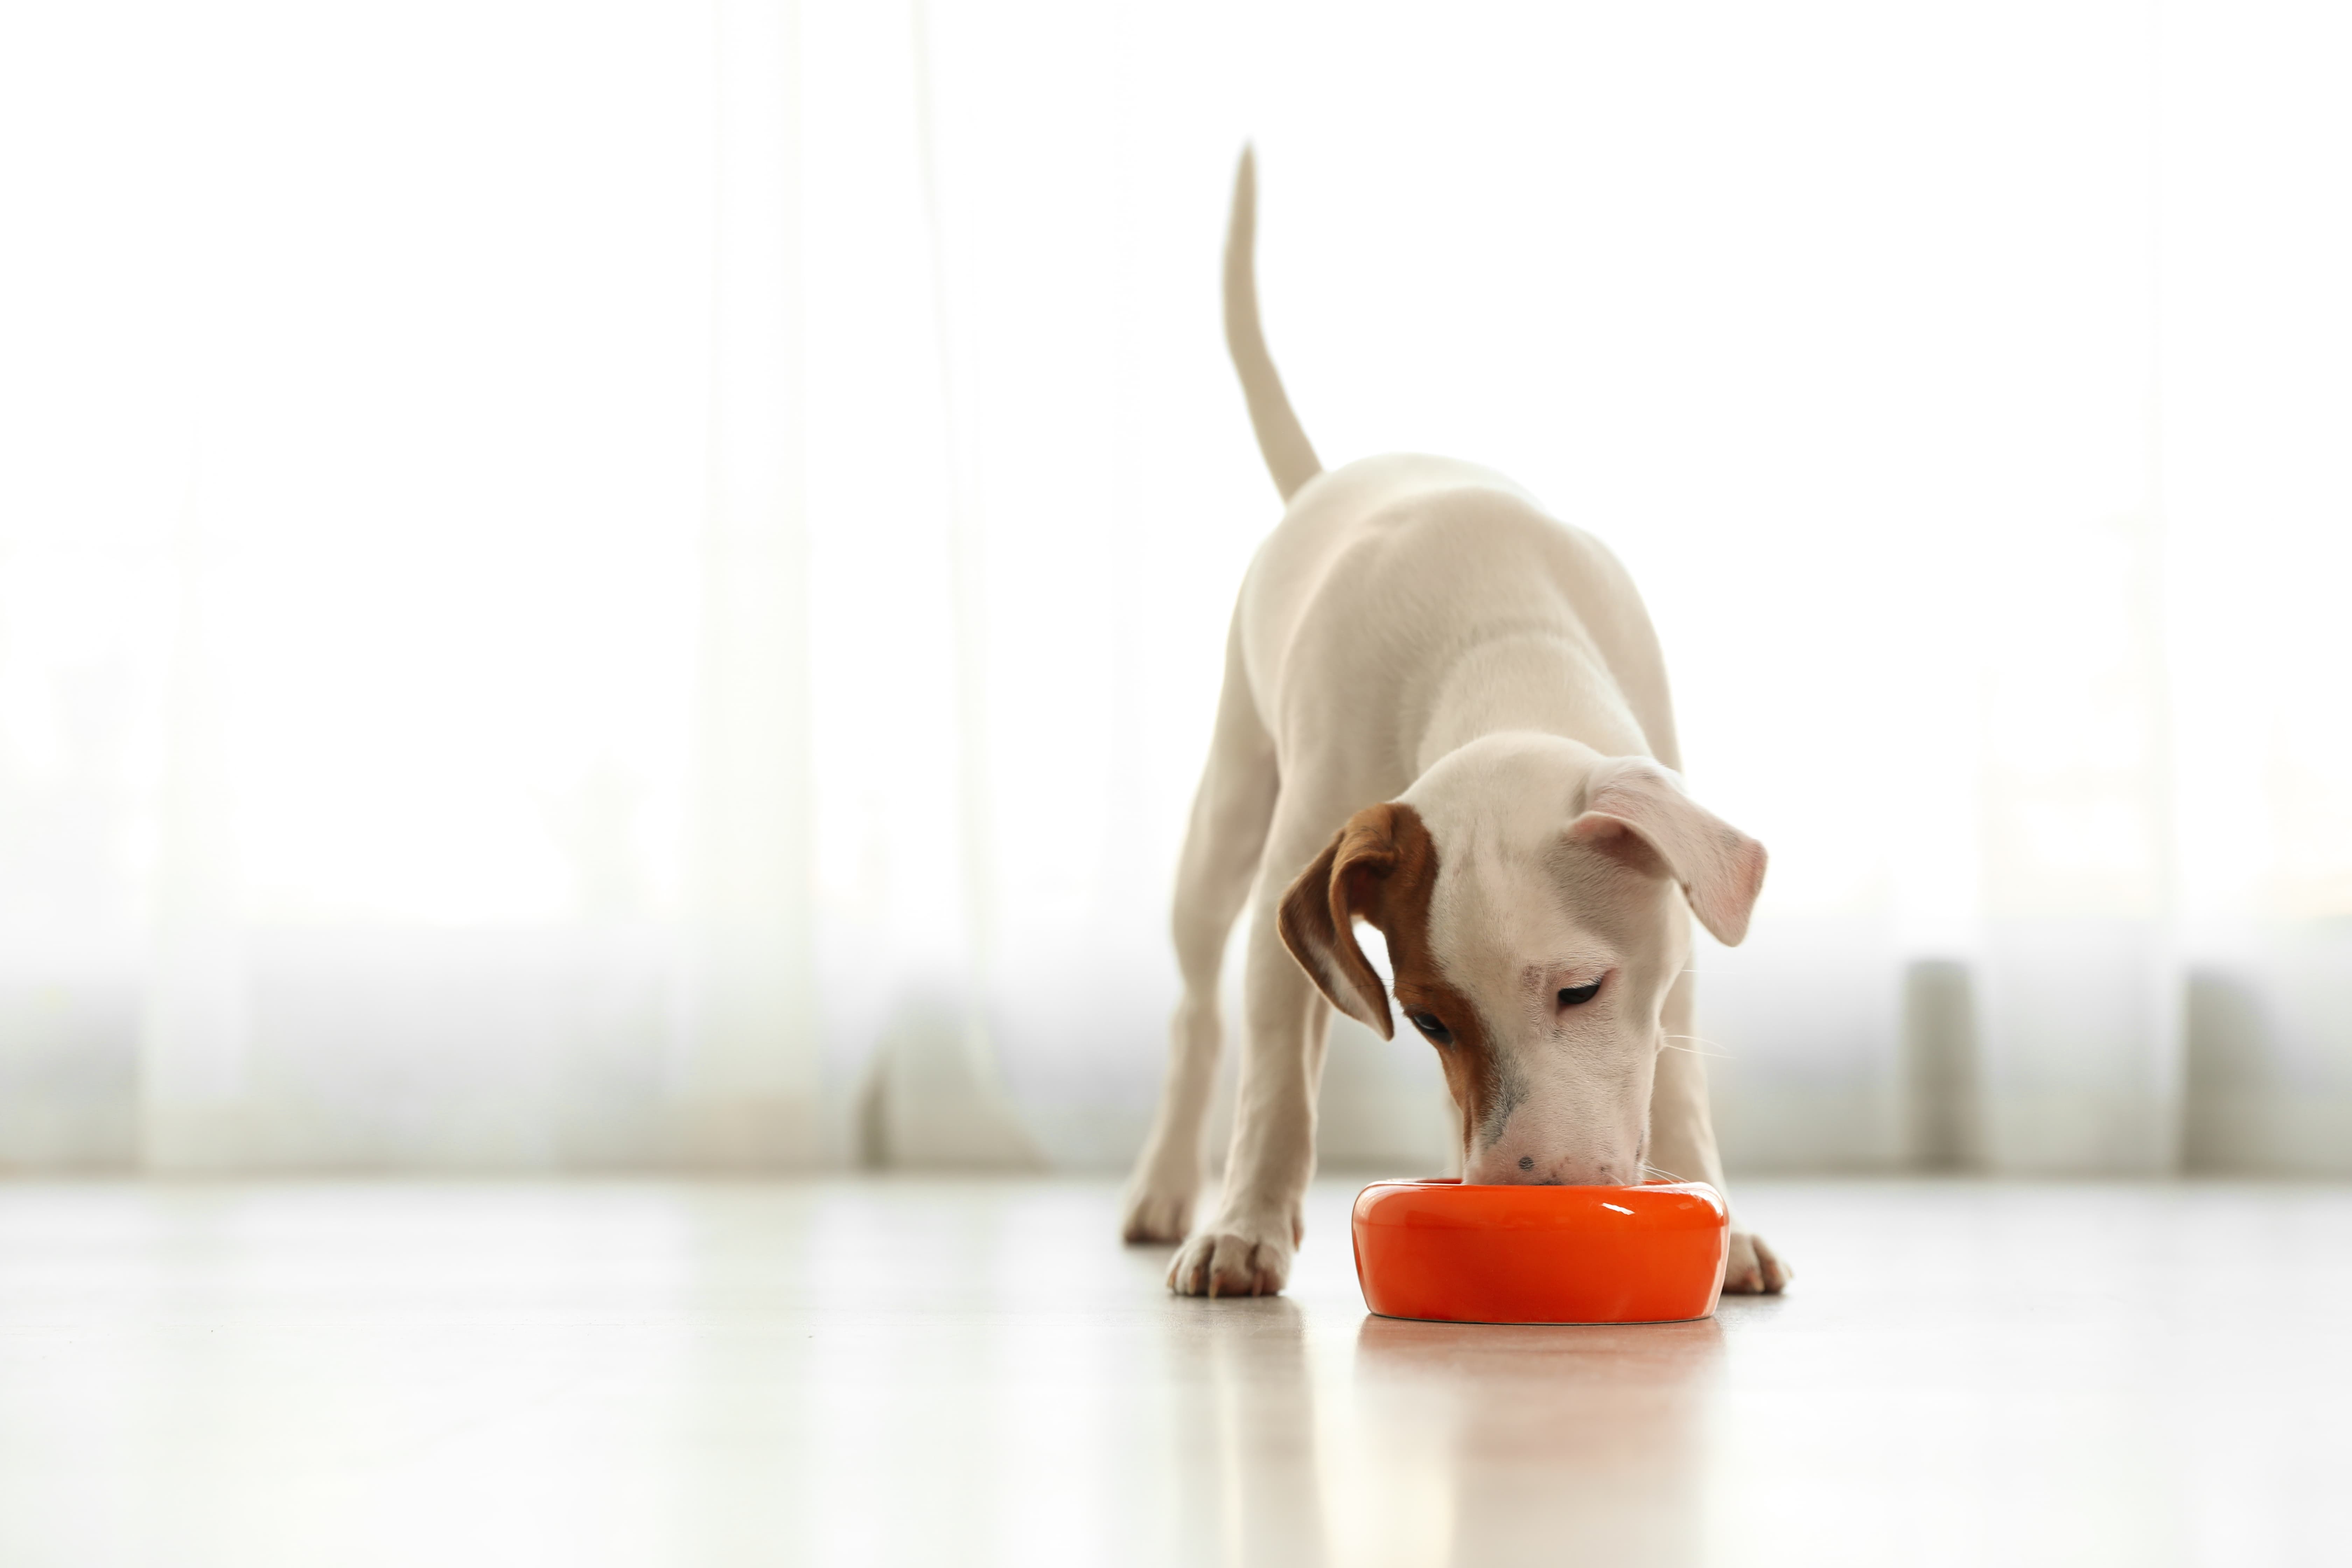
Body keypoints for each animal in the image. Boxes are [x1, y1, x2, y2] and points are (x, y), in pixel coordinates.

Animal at [1124, 153, 1797, 1297]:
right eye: (1430, 1017)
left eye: (1581, 989)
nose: (1526, 1191)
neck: (1497, 640)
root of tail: (1328, 477)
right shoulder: (1293, 878)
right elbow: (1275, 1078)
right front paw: (1247, 1224)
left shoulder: (1676, 932)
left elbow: (1675, 1071)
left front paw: (1726, 1220)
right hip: (1227, 817)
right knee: (1197, 1014)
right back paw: (1171, 1183)